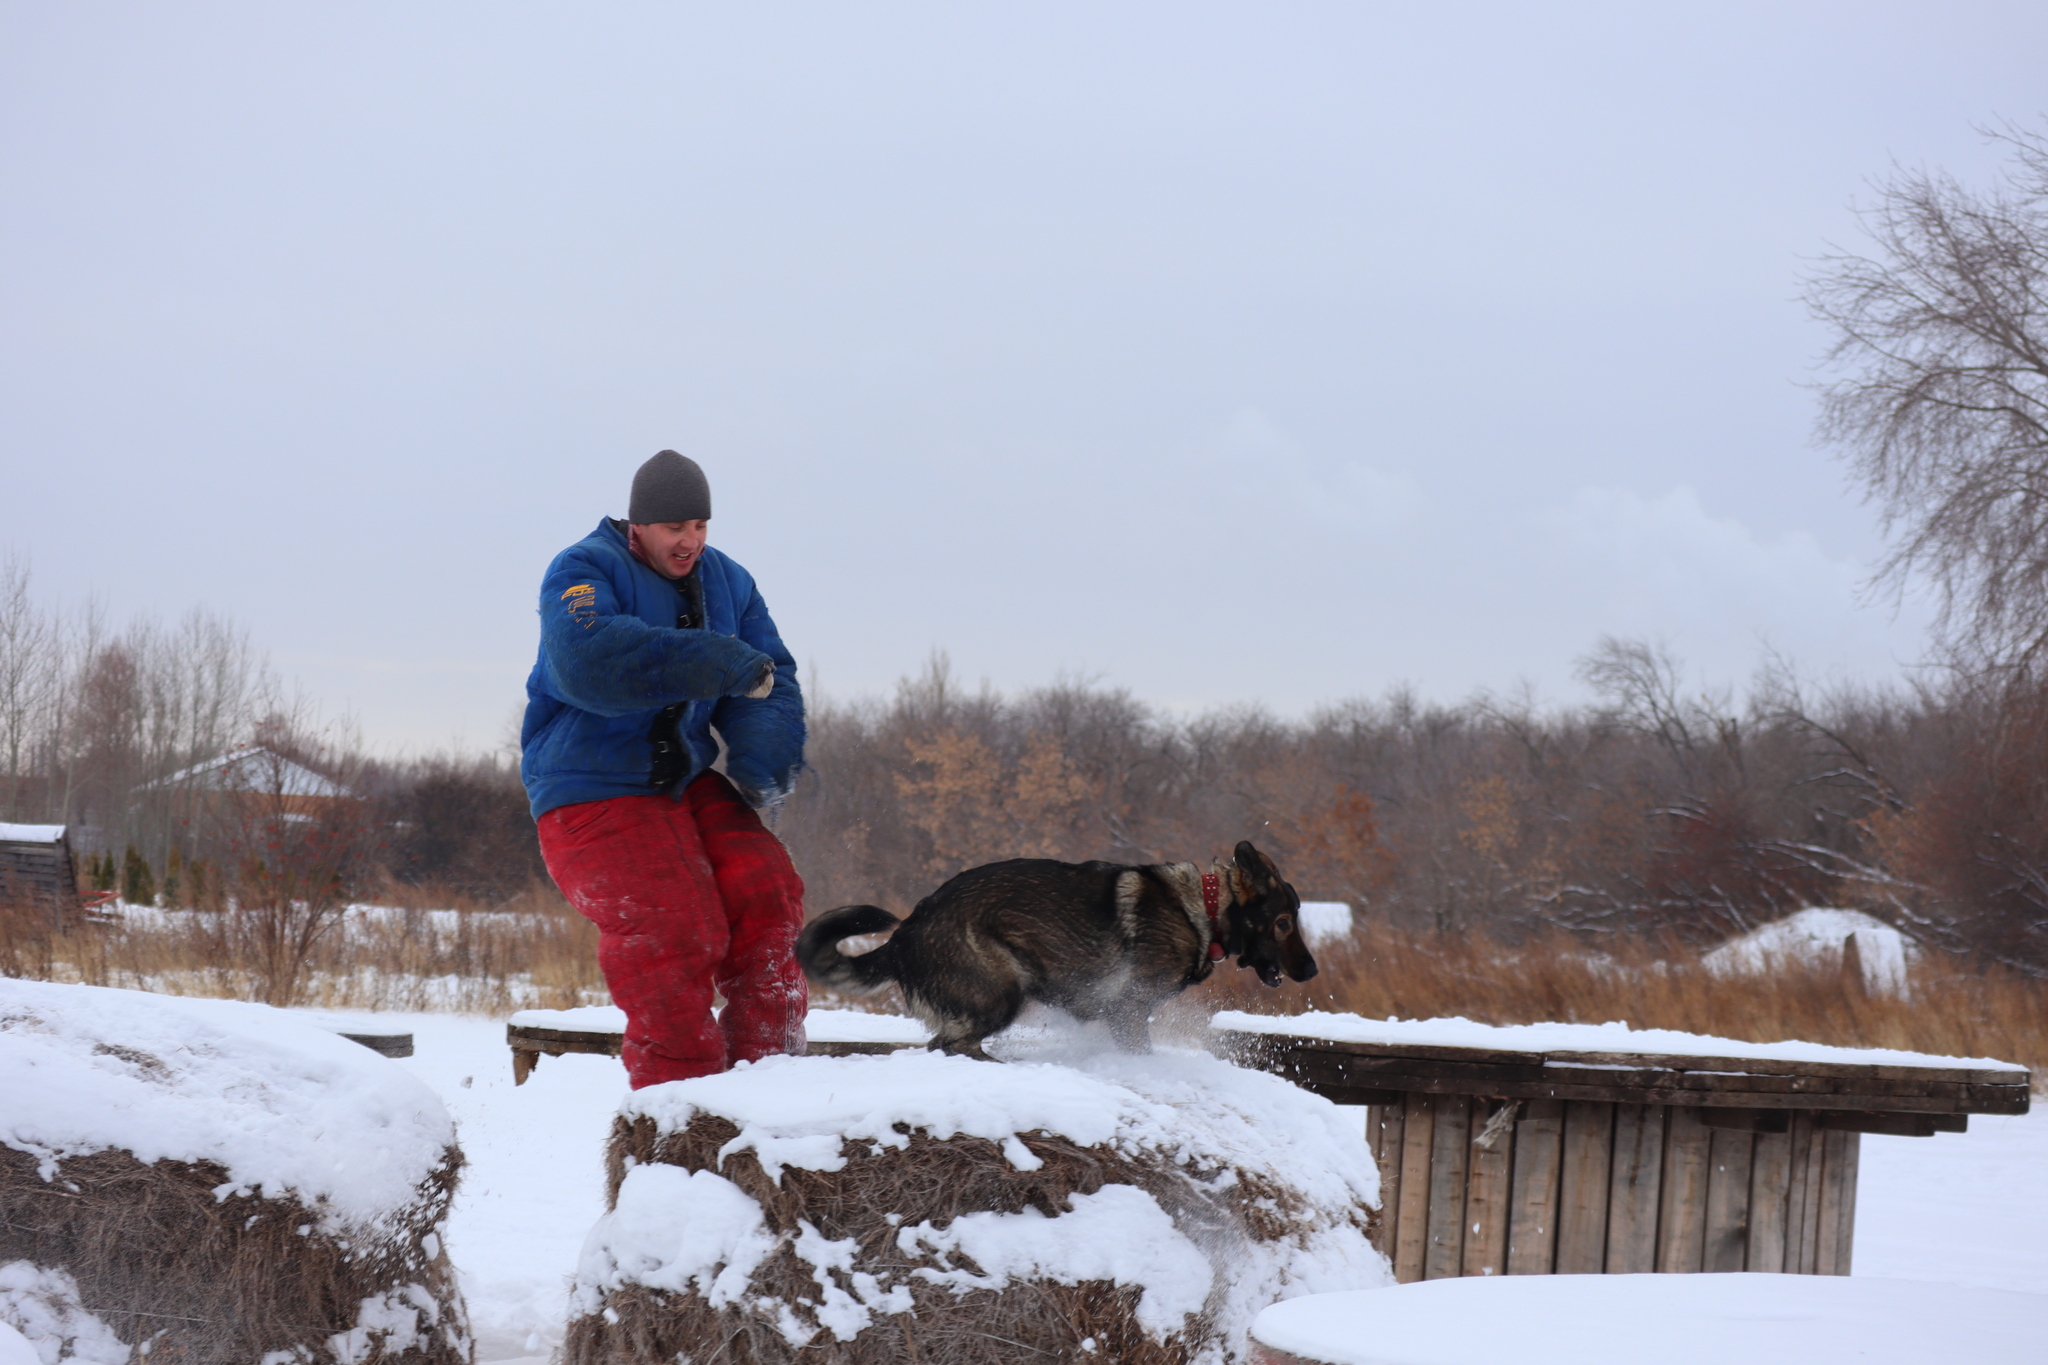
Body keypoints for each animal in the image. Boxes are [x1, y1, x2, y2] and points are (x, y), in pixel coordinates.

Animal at [790, 843, 1318, 1055]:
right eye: (1283, 923)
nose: (1312, 971)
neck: (1203, 909)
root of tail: (904, 934)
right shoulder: (1128, 1011)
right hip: (1001, 994)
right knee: (953, 1046)